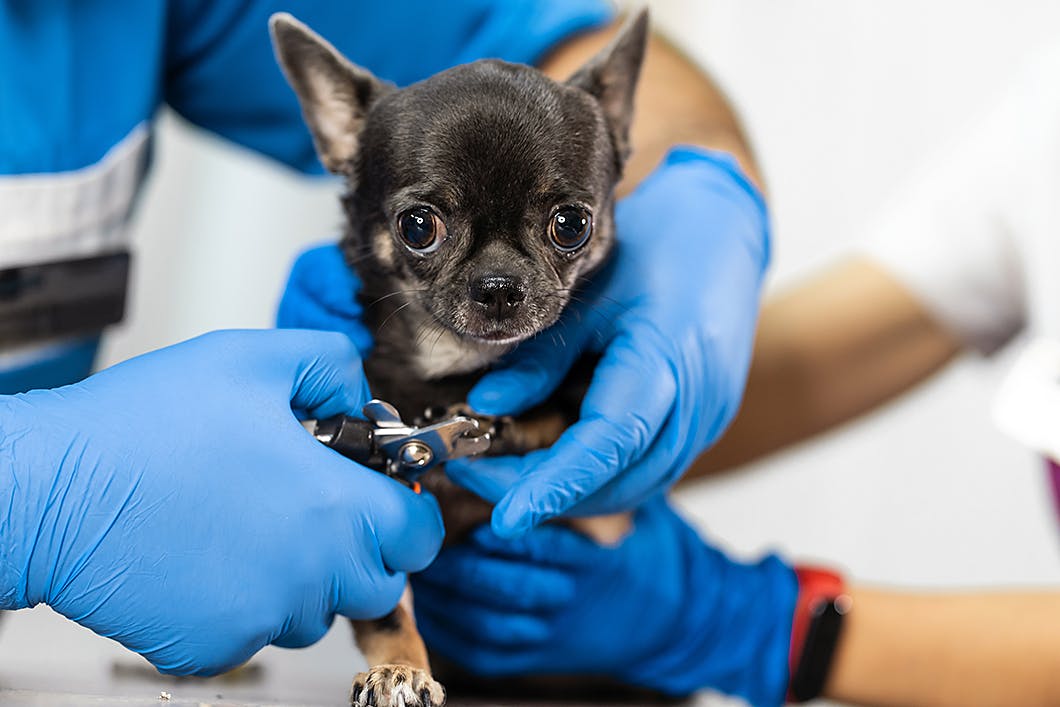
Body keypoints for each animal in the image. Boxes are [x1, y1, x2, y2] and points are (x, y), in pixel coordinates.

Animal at [269, 12, 644, 707]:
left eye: (571, 224)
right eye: (418, 227)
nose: (497, 286)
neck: (449, 378)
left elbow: (552, 422)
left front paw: (503, 423)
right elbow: (386, 612)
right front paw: (400, 669)